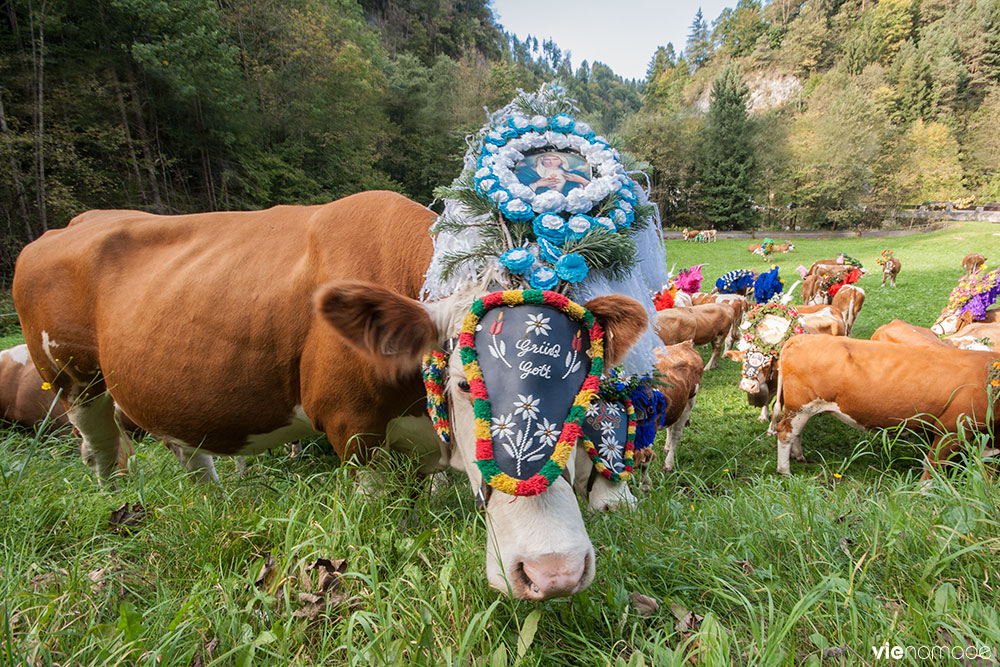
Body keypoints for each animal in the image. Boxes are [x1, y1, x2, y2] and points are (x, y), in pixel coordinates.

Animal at [768, 336, 996, 478]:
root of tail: (800, 339)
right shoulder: (954, 429)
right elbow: (934, 465)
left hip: (801, 409)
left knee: (795, 432)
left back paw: (798, 456)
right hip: (801, 406)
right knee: (785, 433)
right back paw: (785, 470)